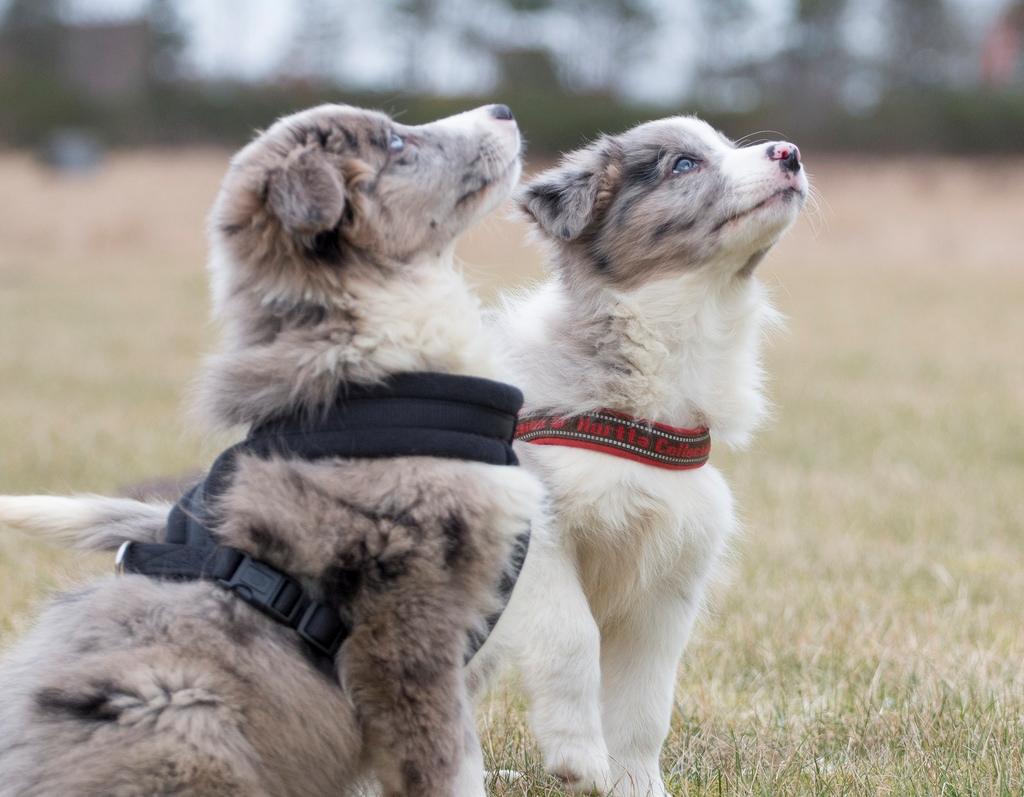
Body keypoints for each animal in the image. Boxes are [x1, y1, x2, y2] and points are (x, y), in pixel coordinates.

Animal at [471, 117, 806, 794]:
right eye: (683, 165)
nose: (791, 153)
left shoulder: (667, 586)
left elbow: (645, 704)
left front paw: (634, 784)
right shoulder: (537, 542)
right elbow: (572, 641)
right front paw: (578, 758)